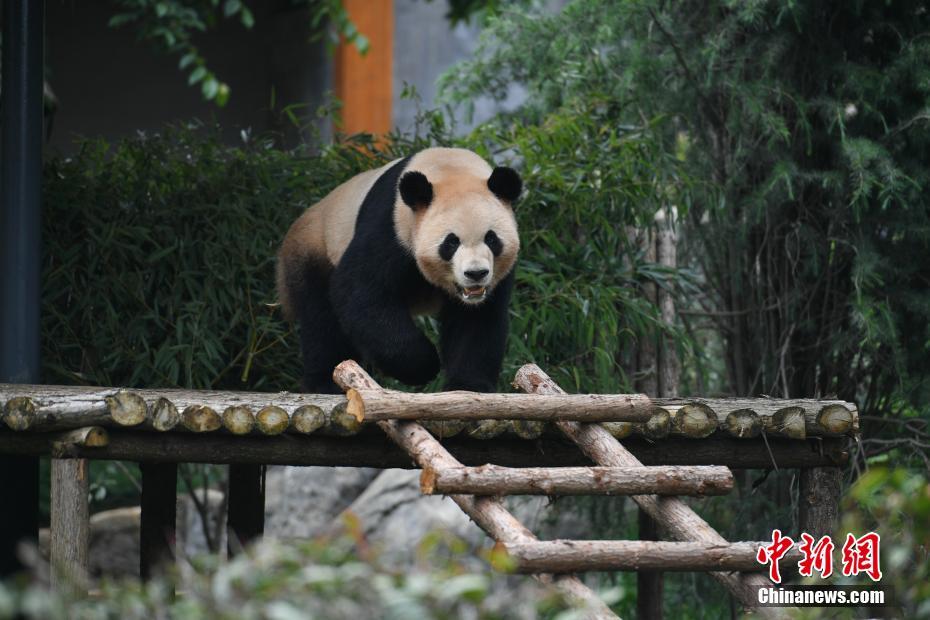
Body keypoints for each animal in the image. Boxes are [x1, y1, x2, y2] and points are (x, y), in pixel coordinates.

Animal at [276, 147, 520, 392]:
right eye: (451, 242)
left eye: (491, 239)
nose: (476, 274)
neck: (451, 169)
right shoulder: (392, 228)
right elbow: (362, 291)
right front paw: (424, 366)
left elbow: (477, 321)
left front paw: (468, 385)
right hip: (314, 250)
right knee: (321, 321)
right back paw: (325, 383)